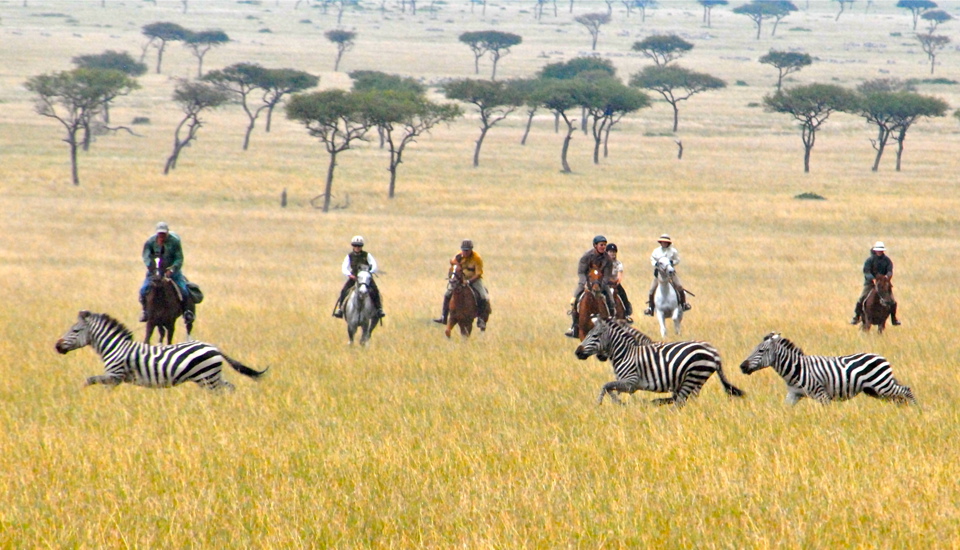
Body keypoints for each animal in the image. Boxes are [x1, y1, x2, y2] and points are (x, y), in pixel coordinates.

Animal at [55, 311, 267, 391]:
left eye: (75, 331)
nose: (57, 346)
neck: (115, 347)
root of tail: (214, 348)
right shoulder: (116, 378)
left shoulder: (115, 375)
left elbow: (90, 380)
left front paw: (83, 395)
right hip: (212, 376)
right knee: (229, 387)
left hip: (207, 377)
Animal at [574, 317, 745, 407]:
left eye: (595, 336)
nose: (577, 352)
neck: (625, 353)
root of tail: (714, 353)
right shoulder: (625, 383)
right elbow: (610, 388)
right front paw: (619, 403)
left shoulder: (631, 383)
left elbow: (606, 386)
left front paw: (600, 404)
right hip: (697, 380)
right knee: (688, 400)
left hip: (693, 376)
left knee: (680, 402)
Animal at [739, 332, 916, 405]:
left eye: (761, 351)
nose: (742, 366)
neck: (796, 369)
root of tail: (881, 357)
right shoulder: (794, 394)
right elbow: (785, 409)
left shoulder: (821, 394)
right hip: (875, 390)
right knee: (899, 397)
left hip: (882, 385)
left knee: (906, 390)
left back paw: (915, 410)